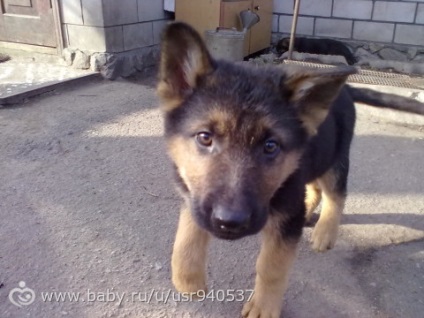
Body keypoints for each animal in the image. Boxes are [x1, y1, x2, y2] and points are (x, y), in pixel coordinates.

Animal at [157, 23, 422, 318]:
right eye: (205, 138)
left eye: (270, 146)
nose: (230, 222)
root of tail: (345, 90)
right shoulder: (194, 195)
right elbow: (185, 237)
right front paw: (188, 279)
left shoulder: (284, 216)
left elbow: (271, 267)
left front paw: (264, 306)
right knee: (313, 189)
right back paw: (307, 213)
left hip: (334, 159)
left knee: (336, 194)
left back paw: (325, 232)